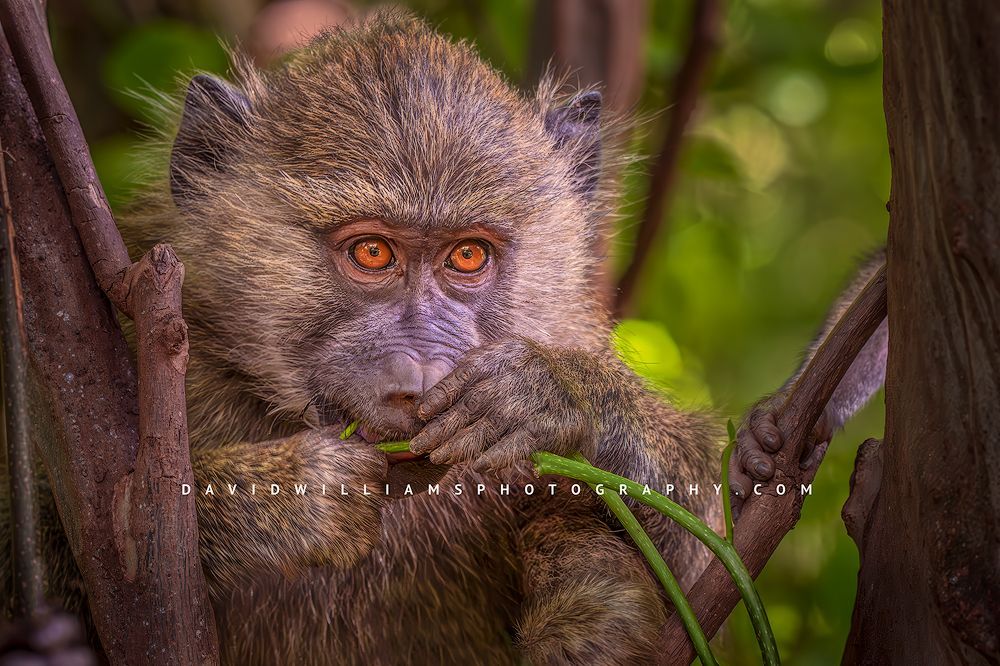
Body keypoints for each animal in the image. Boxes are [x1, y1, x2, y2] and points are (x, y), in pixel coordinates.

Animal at [0, 10, 889, 665]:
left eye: (468, 256)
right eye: (371, 253)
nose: (421, 380)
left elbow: (705, 583)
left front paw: (551, 399)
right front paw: (288, 491)